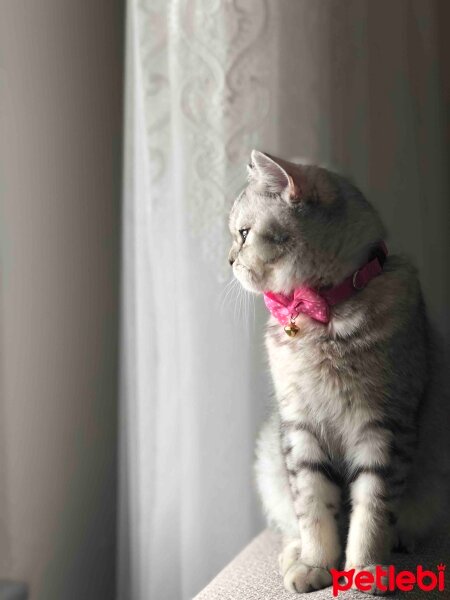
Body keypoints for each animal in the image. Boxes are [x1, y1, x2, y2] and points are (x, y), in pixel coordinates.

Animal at [229, 151, 450, 596]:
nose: (228, 260)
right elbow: (313, 506)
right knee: (290, 522)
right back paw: (293, 553)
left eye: (243, 233)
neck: (322, 314)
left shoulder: (384, 428)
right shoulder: (300, 428)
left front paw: (366, 570)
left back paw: (402, 540)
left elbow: (372, 512)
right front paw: (316, 564)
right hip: (270, 459)